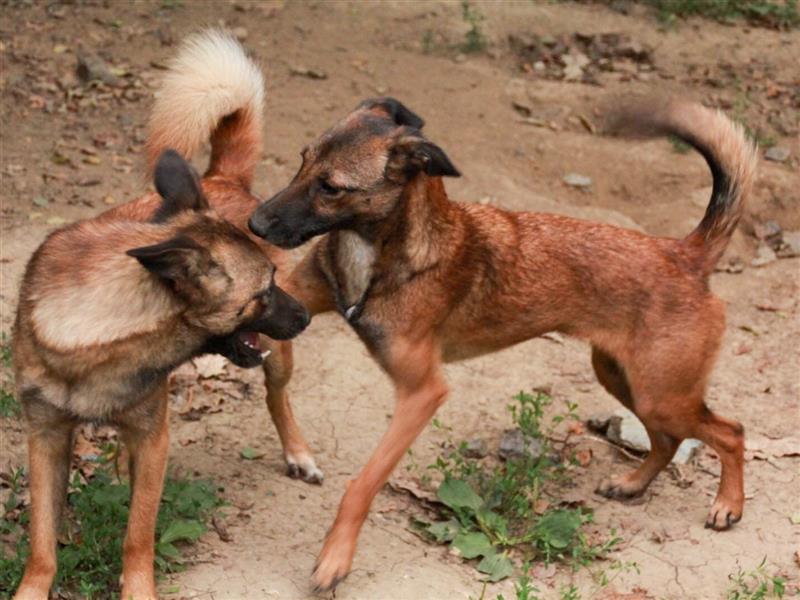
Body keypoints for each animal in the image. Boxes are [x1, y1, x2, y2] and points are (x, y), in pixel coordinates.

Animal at [12, 31, 318, 600]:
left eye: (272, 279)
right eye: (261, 292)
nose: (309, 314)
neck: (91, 340)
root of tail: (220, 177)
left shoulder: (155, 439)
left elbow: (139, 534)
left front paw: (137, 590)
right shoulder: (45, 438)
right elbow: (42, 543)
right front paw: (30, 591)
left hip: (277, 358)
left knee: (277, 396)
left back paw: (298, 453)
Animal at [248, 96, 756, 588]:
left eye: (331, 187)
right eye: (302, 160)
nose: (254, 223)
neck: (381, 253)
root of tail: (683, 253)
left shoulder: (422, 394)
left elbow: (363, 484)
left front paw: (335, 558)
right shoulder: (290, 303)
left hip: (662, 393)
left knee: (730, 431)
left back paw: (728, 505)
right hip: (624, 380)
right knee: (670, 440)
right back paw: (632, 484)